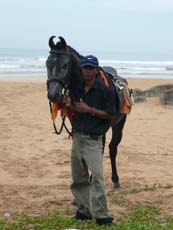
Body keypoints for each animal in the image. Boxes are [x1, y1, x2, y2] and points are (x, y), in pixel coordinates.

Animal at [46, 36, 127, 190]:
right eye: (47, 63)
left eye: (65, 65)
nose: (53, 94)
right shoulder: (76, 127)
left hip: (119, 124)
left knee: (112, 149)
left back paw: (116, 180)